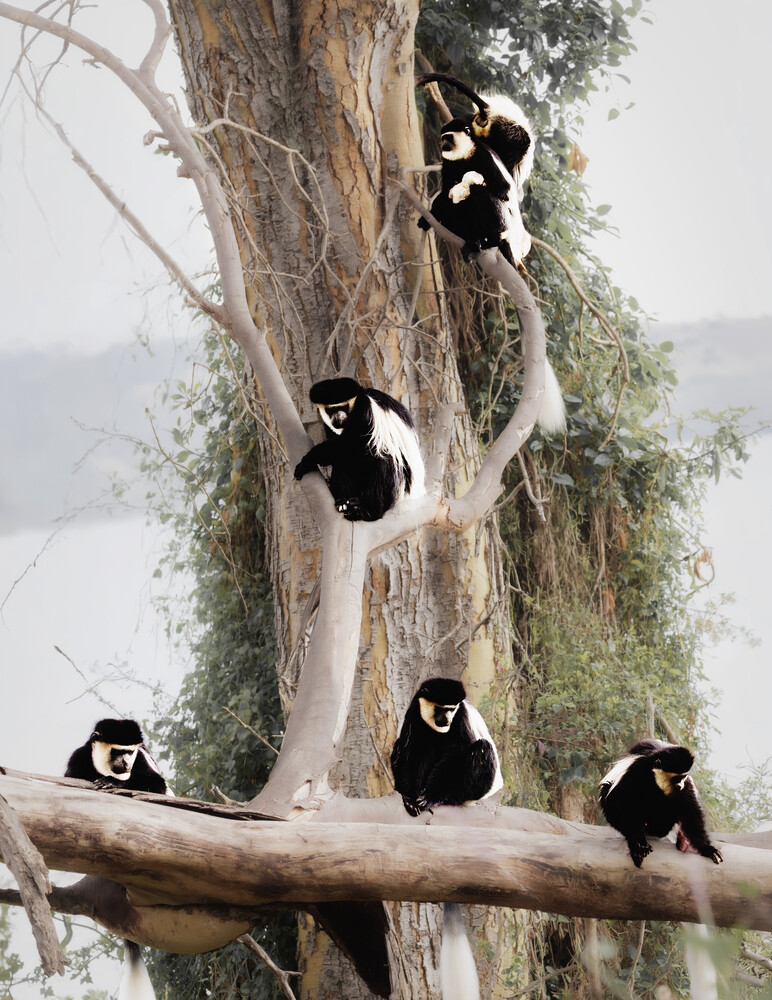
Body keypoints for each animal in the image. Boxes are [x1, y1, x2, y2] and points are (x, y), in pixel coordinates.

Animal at [65, 719, 171, 1000]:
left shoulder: (142, 760)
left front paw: (114, 784)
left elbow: (156, 786)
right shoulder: (79, 758)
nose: (125, 763)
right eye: (117, 751)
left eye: (129, 752)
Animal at [294, 377, 425, 521]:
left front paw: (308, 460)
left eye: (343, 407)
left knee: (385, 461)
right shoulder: (329, 425)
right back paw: (344, 503)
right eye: (330, 410)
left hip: (397, 489)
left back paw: (367, 511)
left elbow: (352, 445)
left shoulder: (364, 411)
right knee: (343, 463)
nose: (338, 419)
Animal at [599, 738, 724, 868]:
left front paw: (708, 848)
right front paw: (638, 843)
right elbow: (618, 801)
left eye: (683, 777)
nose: (681, 785)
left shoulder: (686, 785)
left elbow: (691, 812)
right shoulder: (636, 773)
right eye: (677, 778)